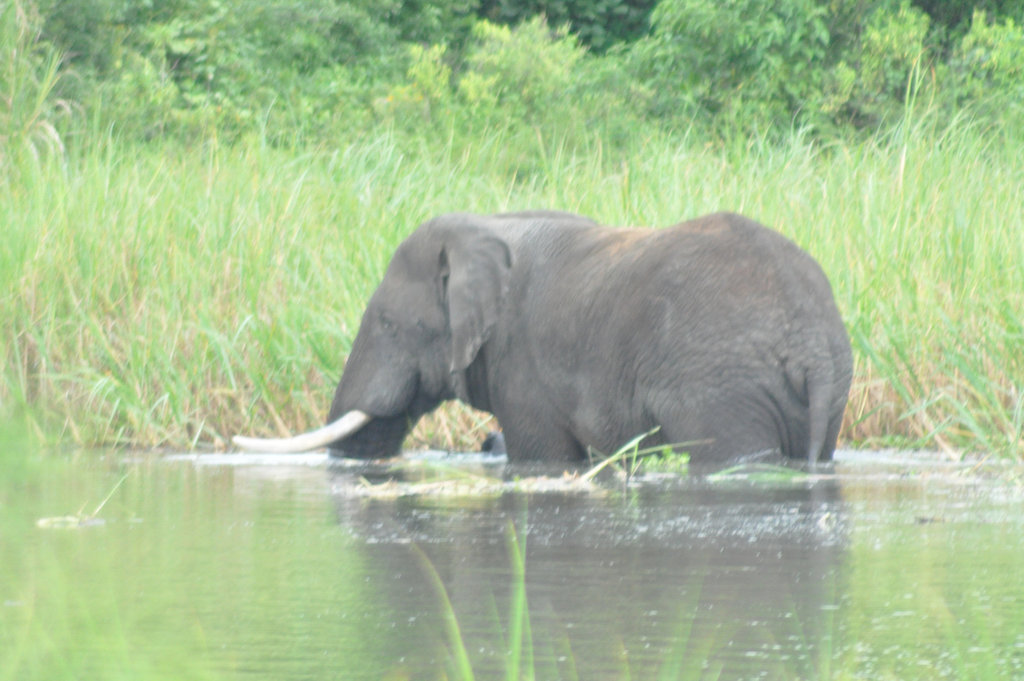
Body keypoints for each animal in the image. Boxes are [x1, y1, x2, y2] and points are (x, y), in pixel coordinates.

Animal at [235, 209, 851, 464]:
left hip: (720, 386)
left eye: (388, 324)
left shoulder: (522, 364)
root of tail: (812, 347)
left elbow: (543, 461)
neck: (491, 224)